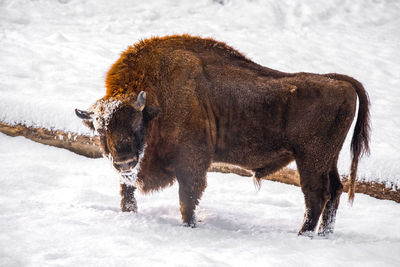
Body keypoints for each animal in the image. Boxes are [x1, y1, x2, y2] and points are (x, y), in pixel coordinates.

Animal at [75, 35, 368, 237]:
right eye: (100, 129)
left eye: (137, 124)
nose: (124, 161)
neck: (156, 102)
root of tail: (339, 82)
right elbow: (127, 192)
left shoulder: (191, 163)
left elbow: (187, 199)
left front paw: (189, 227)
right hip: (327, 159)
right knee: (335, 190)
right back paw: (324, 234)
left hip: (310, 159)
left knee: (316, 195)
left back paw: (302, 235)